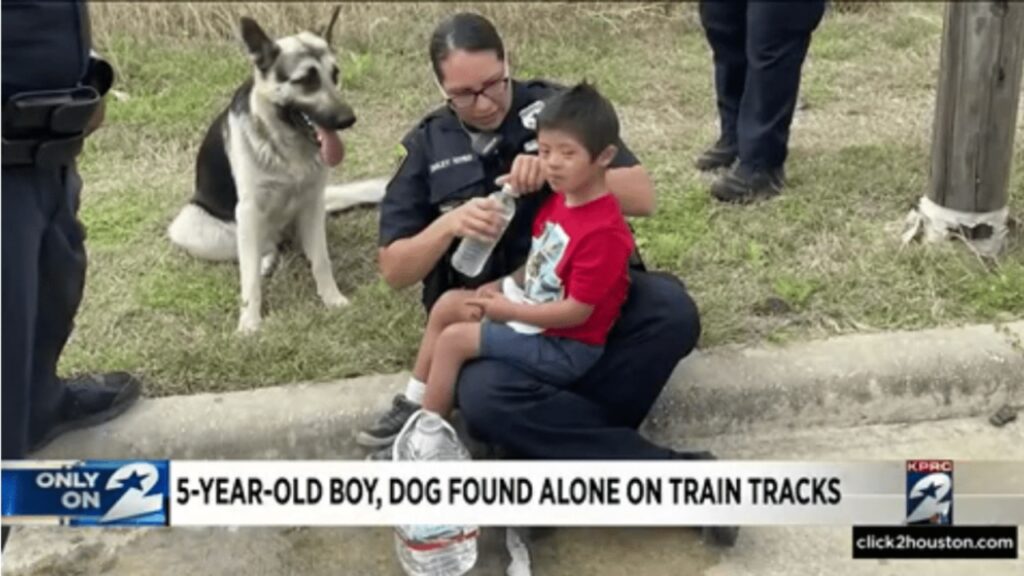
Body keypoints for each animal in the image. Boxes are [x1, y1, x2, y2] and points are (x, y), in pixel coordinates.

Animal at [167, 11, 385, 334]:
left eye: (335, 75)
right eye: (306, 80)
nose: (349, 119)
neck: (287, 148)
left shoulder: (312, 202)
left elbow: (322, 261)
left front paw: (332, 299)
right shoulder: (247, 210)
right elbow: (248, 280)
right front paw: (249, 323)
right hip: (193, 226)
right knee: (258, 251)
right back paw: (264, 262)